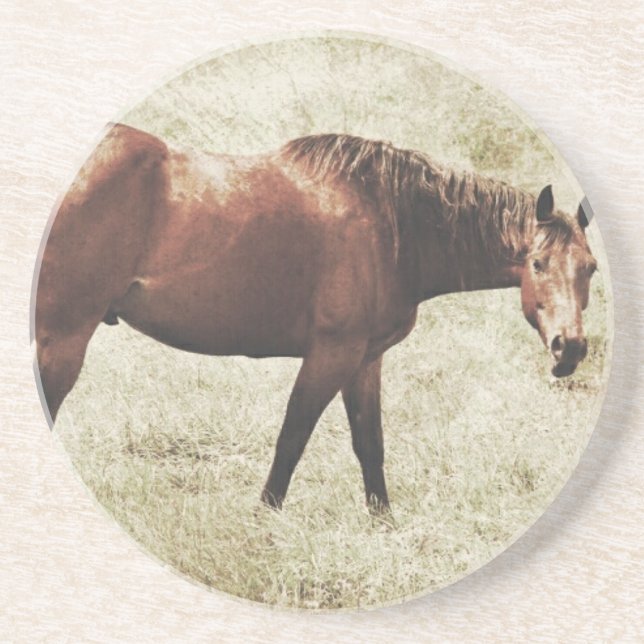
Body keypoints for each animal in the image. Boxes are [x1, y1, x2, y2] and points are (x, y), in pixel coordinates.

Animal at [34, 124, 597, 512]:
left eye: (590, 268)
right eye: (538, 263)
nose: (569, 348)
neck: (392, 225)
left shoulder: (365, 359)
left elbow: (370, 445)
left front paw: (384, 526)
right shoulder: (332, 354)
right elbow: (292, 439)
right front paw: (264, 522)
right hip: (62, 340)